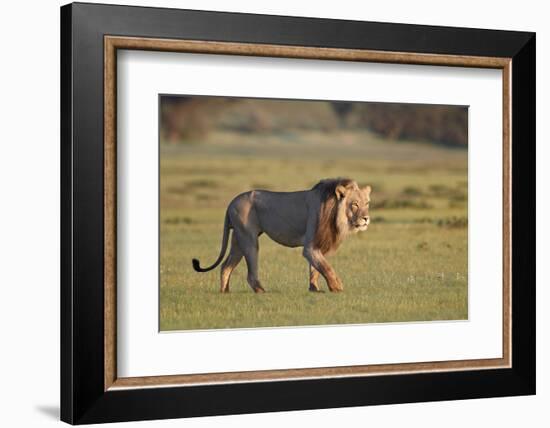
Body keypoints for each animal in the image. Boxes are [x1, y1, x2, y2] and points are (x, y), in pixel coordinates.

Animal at [192, 176, 374, 292]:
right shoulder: (310, 247)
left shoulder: (320, 245)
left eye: (366, 203)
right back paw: (262, 291)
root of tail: (231, 202)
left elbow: (316, 268)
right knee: (250, 274)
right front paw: (337, 287)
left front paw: (314, 289)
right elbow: (326, 267)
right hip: (249, 239)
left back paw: (225, 292)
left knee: (226, 266)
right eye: (354, 204)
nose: (366, 219)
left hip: (238, 239)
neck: (335, 214)